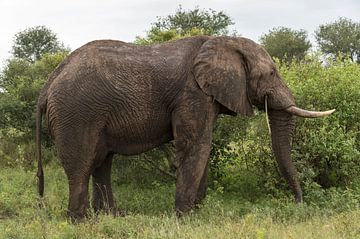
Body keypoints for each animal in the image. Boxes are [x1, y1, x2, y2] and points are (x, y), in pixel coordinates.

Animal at [35, 34, 334, 219]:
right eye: (271, 73)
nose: (298, 204)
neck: (222, 41)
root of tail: (48, 83)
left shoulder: (206, 95)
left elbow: (203, 146)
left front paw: (197, 212)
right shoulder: (192, 94)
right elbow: (195, 146)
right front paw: (185, 217)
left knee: (101, 162)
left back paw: (113, 217)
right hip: (77, 112)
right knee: (82, 165)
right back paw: (82, 222)